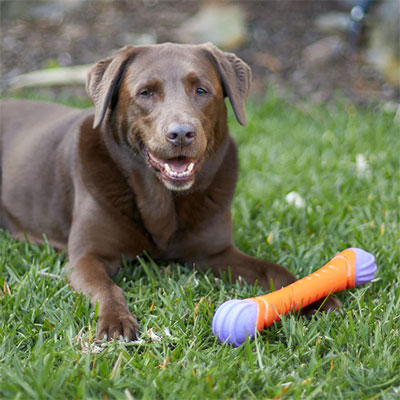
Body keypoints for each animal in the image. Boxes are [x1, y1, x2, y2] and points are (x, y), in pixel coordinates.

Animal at [0, 43, 340, 341]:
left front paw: (316, 299)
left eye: (201, 90)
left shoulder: (216, 252)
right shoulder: (86, 257)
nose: (181, 133)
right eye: (146, 93)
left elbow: (275, 270)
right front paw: (116, 323)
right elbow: (107, 288)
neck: (162, 199)